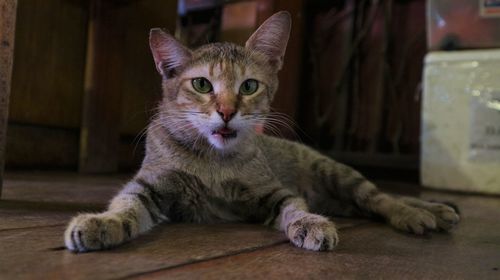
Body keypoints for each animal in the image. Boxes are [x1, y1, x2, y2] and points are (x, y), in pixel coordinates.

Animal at [64, 10, 458, 253]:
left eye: (249, 85)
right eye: (202, 84)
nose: (226, 111)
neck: (213, 162)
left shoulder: (275, 192)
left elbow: (294, 208)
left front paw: (309, 224)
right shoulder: (150, 186)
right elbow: (126, 204)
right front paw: (102, 223)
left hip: (339, 175)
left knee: (380, 197)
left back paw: (420, 212)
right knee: (368, 203)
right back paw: (435, 210)